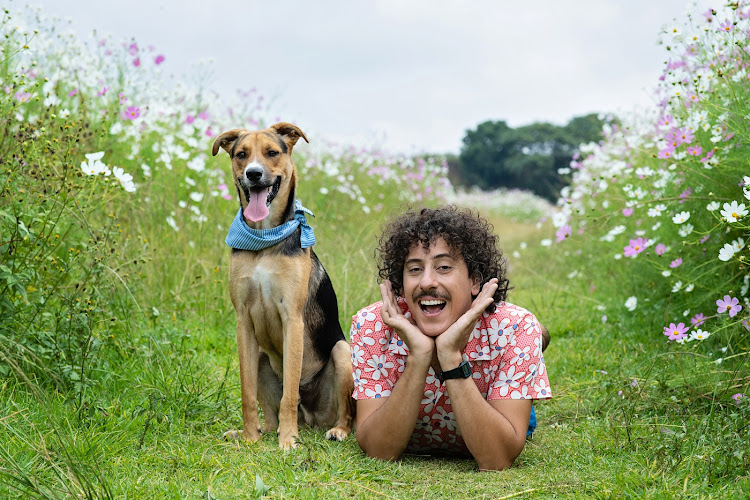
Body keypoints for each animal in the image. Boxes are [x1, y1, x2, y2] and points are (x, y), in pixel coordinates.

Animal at [210, 121, 354, 450]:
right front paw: (249, 437)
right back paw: (259, 431)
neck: (265, 240)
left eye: (272, 153)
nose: (253, 174)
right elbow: (247, 393)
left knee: (344, 413)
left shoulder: (292, 319)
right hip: (262, 357)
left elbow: (289, 393)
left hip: (342, 352)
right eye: (241, 154)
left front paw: (288, 441)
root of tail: (310, 418)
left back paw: (334, 430)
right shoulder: (243, 322)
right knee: (270, 416)